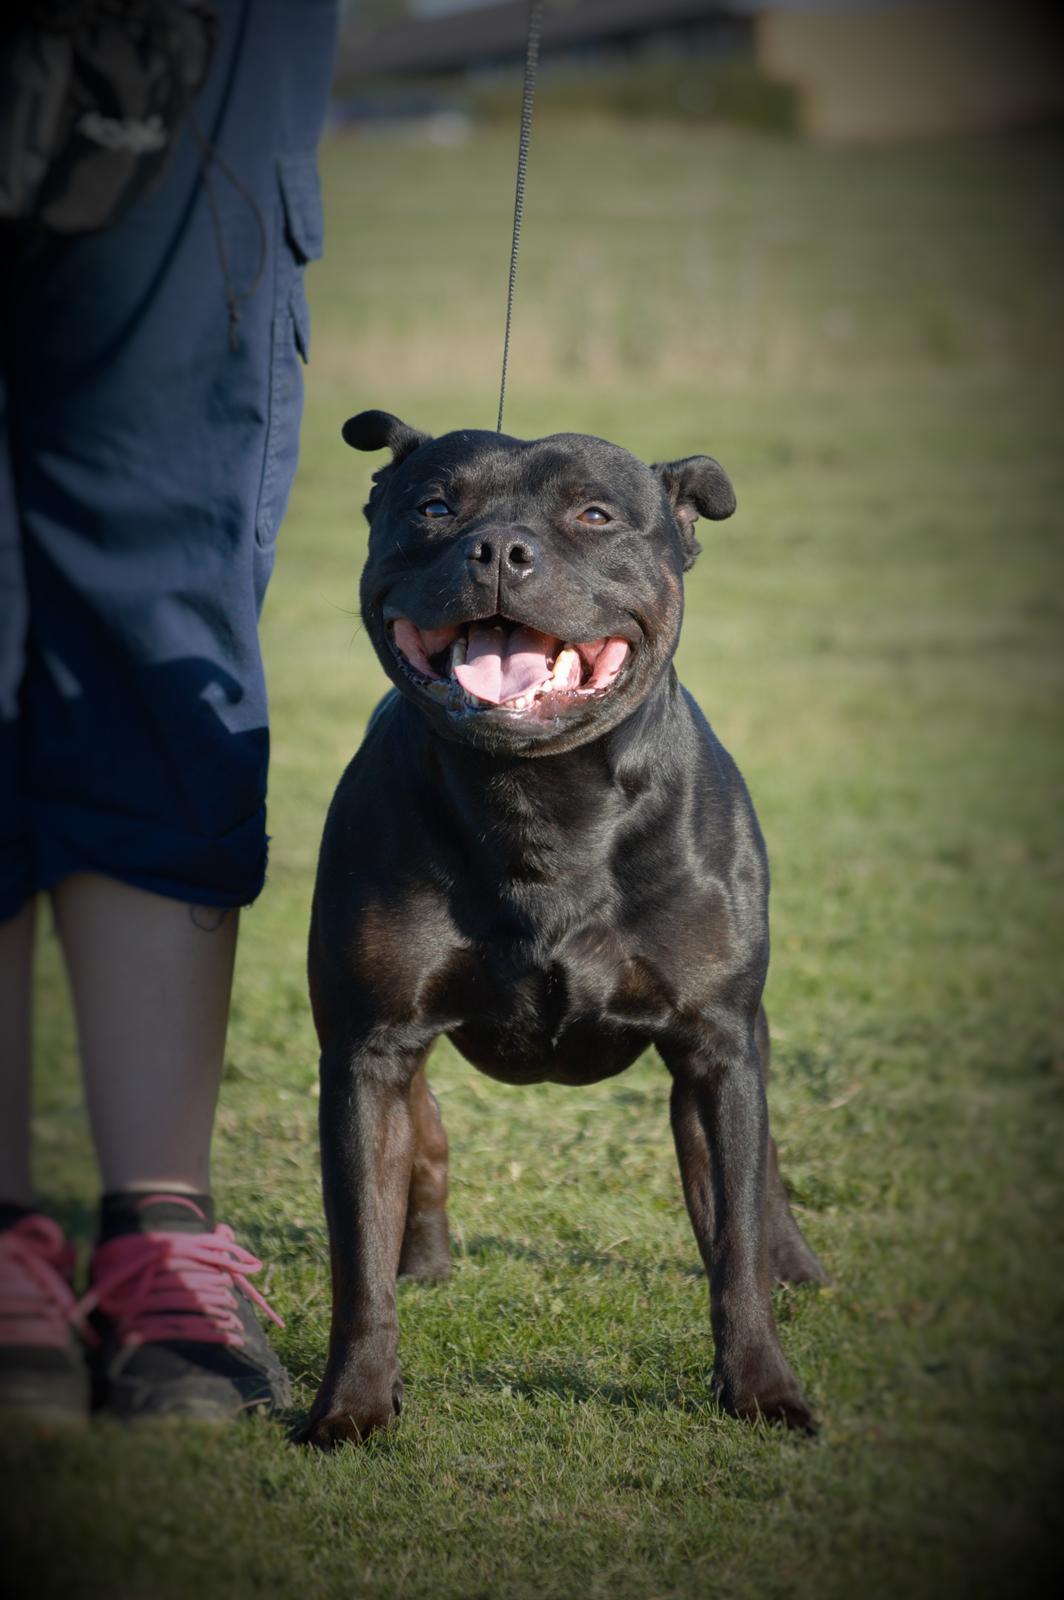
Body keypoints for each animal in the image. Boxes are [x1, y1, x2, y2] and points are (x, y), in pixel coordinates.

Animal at [294, 409, 825, 1452]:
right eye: (434, 506)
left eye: (594, 514)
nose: (499, 548)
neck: (538, 800)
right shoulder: (367, 1048)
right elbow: (357, 1261)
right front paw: (353, 1405)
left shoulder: (714, 1049)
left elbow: (735, 1241)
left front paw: (763, 1389)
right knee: (424, 1142)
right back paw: (424, 1257)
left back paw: (796, 1261)